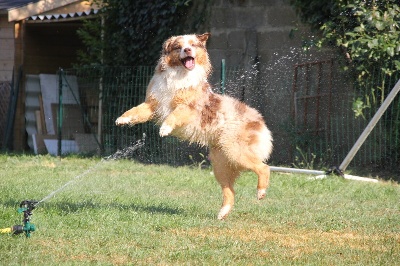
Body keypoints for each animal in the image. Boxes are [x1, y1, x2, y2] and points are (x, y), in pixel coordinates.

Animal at [115, 32, 272, 220]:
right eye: (179, 46)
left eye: (193, 44)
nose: (187, 50)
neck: (180, 74)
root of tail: (259, 120)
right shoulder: (153, 105)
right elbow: (136, 110)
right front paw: (122, 119)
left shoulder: (189, 108)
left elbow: (175, 114)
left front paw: (165, 128)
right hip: (220, 163)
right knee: (230, 190)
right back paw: (222, 213)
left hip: (235, 150)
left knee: (264, 167)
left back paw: (261, 191)